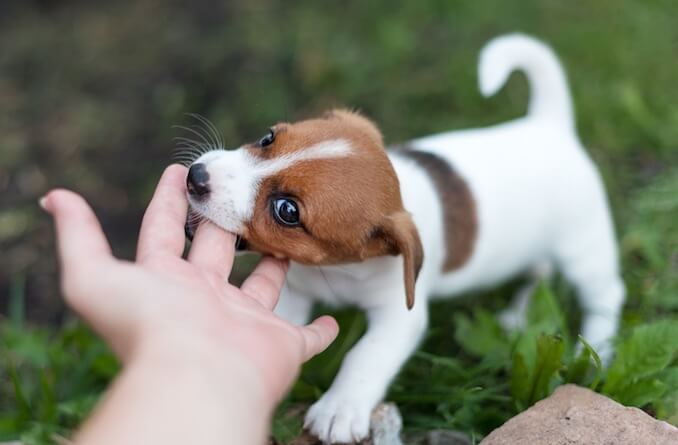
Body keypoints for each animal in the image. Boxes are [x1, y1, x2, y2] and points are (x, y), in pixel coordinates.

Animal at [183, 33, 624, 442]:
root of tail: (550, 126)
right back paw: (519, 314)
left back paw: (595, 346)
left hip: (584, 248)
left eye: (287, 211)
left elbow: (365, 355)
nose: (196, 176)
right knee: (540, 270)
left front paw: (341, 407)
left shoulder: (400, 316)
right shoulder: (295, 289)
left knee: (605, 293)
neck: (339, 270)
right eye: (268, 138)